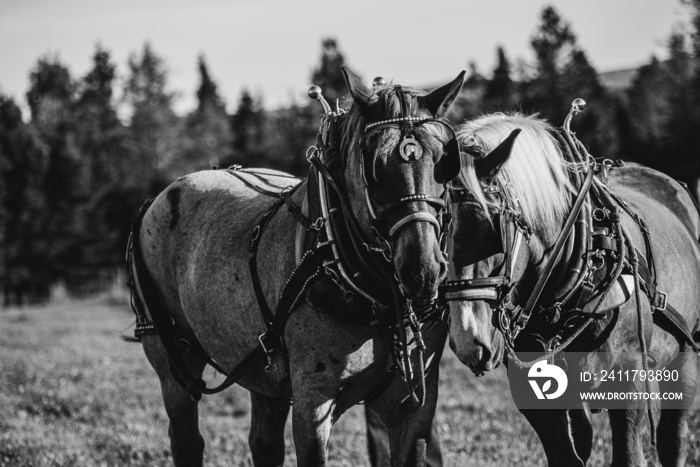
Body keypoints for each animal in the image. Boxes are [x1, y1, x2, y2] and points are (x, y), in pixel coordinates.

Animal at [126, 67, 464, 466]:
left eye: (444, 161)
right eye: (375, 167)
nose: (421, 270)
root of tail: (157, 199)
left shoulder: (413, 411)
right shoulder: (312, 404)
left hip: (265, 370)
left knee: (264, 443)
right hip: (172, 361)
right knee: (186, 439)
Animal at [442, 111, 700, 466]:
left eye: (494, 226)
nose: (469, 340)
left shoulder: (631, 373)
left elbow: (629, 455)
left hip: (685, 354)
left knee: (673, 435)